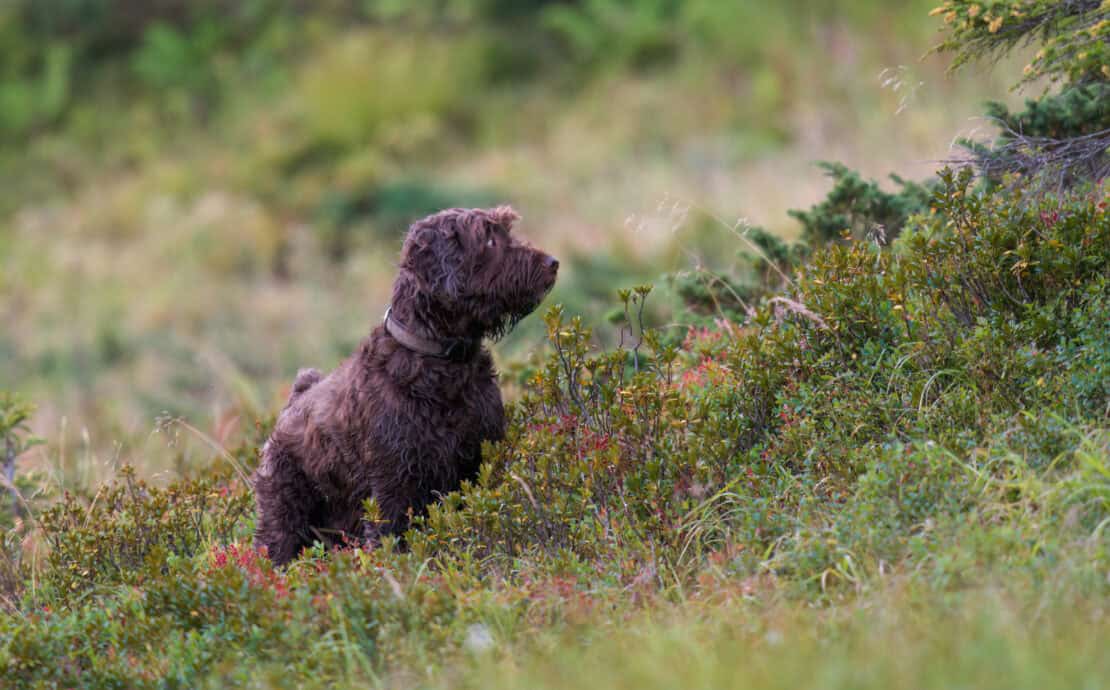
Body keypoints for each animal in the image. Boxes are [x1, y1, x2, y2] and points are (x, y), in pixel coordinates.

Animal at [255, 205, 559, 567]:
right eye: (488, 239)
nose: (552, 263)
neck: (440, 365)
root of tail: (293, 403)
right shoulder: (394, 485)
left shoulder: (475, 465)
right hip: (284, 517)